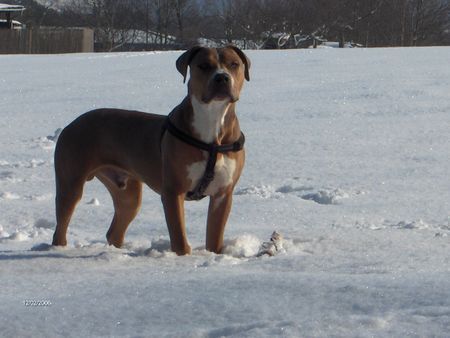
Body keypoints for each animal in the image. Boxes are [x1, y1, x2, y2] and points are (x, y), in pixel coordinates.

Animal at [52, 46, 251, 255]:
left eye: (234, 64)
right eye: (204, 65)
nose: (222, 77)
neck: (213, 122)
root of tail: (71, 124)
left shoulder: (223, 194)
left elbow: (215, 237)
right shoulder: (173, 191)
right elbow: (179, 237)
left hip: (128, 195)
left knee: (115, 229)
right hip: (71, 182)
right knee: (61, 226)